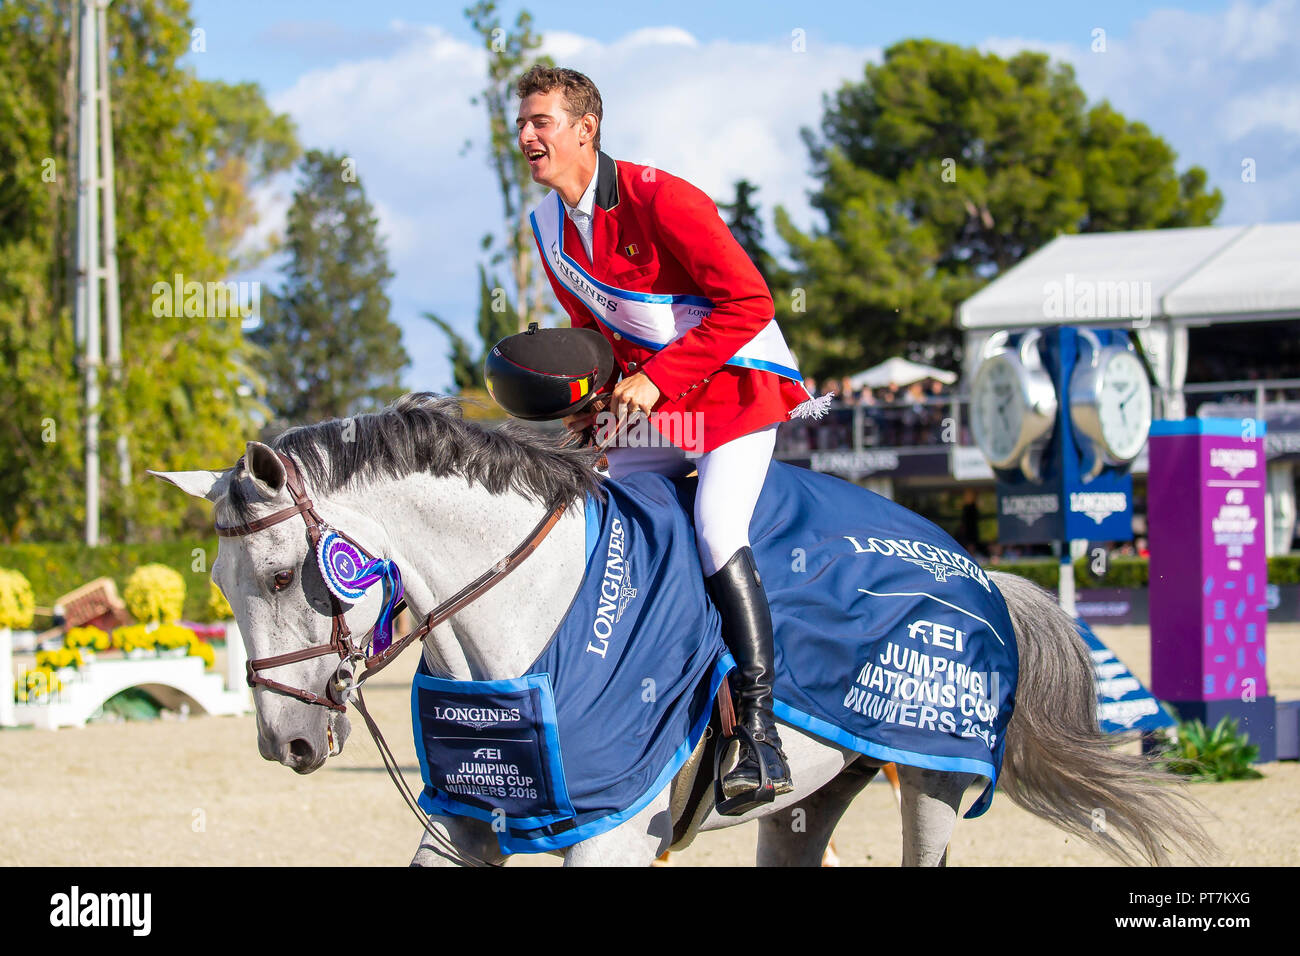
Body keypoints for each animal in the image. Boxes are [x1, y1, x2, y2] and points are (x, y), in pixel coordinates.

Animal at [154, 392, 1216, 868]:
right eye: (223, 589)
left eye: (284, 576)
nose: (286, 744)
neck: (527, 621)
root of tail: (978, 567)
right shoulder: (467, 823)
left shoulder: (612, 835)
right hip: (812, 801)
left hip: (934, 781)